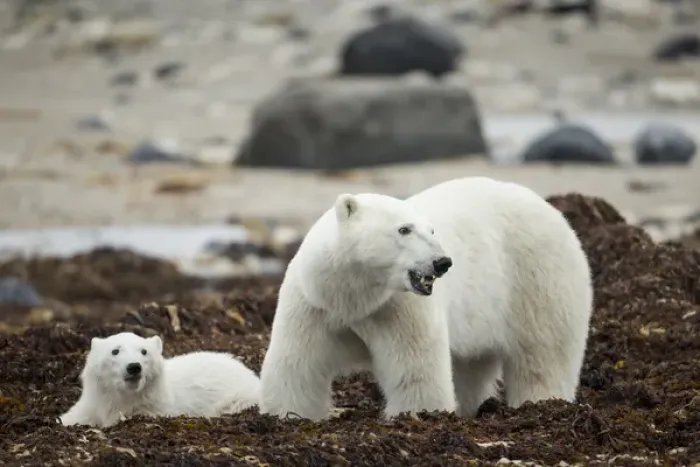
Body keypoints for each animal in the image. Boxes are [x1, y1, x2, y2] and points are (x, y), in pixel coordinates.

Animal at [60, 332, 261, 428]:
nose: (134, 366)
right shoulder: (93, 403)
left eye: (144, 351)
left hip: (238, 396)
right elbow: (72, 417)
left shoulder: (157, 407)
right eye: (115, 350)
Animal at [259, 176, 593, 421]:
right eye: (404, 229)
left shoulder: (397, 308)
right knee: (472, 365)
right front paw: (286, 416)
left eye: (431, 230)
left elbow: (414, 368)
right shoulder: (314, 305)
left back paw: (540, 403)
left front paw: (418, 415)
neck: (353, 298)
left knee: (544, 353)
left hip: (537, 278)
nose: (442, 262)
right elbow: (297, 364)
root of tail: (552, 210)